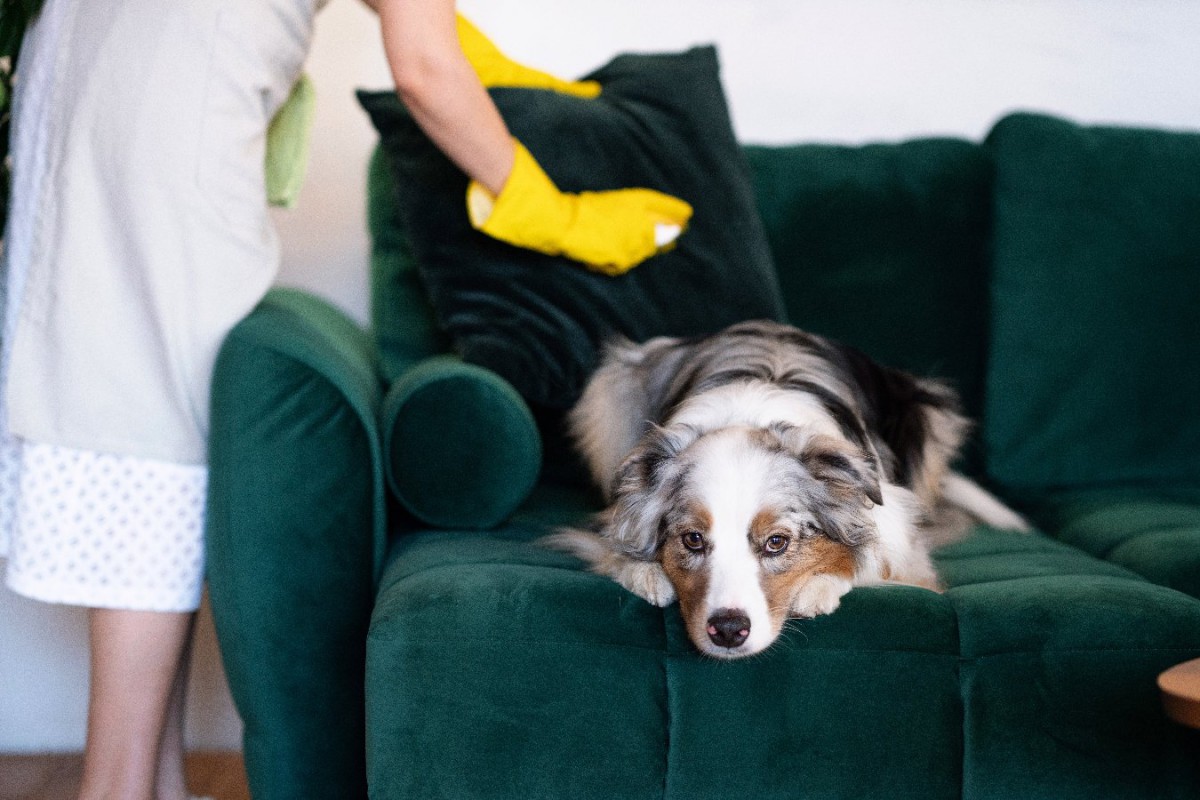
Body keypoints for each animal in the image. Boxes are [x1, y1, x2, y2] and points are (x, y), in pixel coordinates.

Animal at [549, 316, 1027, 657]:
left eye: (777, 542)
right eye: (692, 539)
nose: (728, 630)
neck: (750, 418)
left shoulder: (903, 541)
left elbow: (869, 557)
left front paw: (820, 586)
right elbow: (615, 547)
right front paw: (645, 573)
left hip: (928, 418)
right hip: (612, 394)